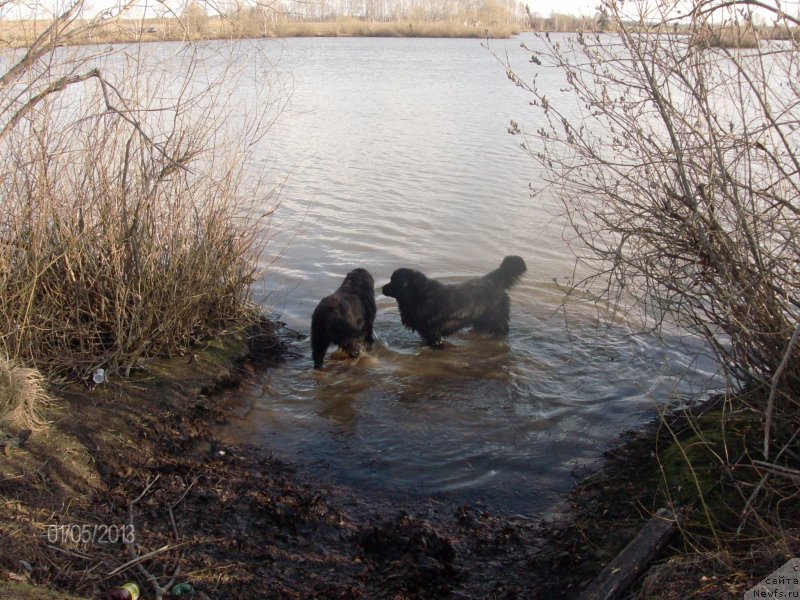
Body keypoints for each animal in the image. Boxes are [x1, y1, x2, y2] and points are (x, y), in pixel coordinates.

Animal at [384, 254, 528, 346]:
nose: (382, 288)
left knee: (504, 327)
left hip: (495, 317)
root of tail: (493, 280)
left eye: (393, 281)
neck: (418, 295)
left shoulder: (432, 332)